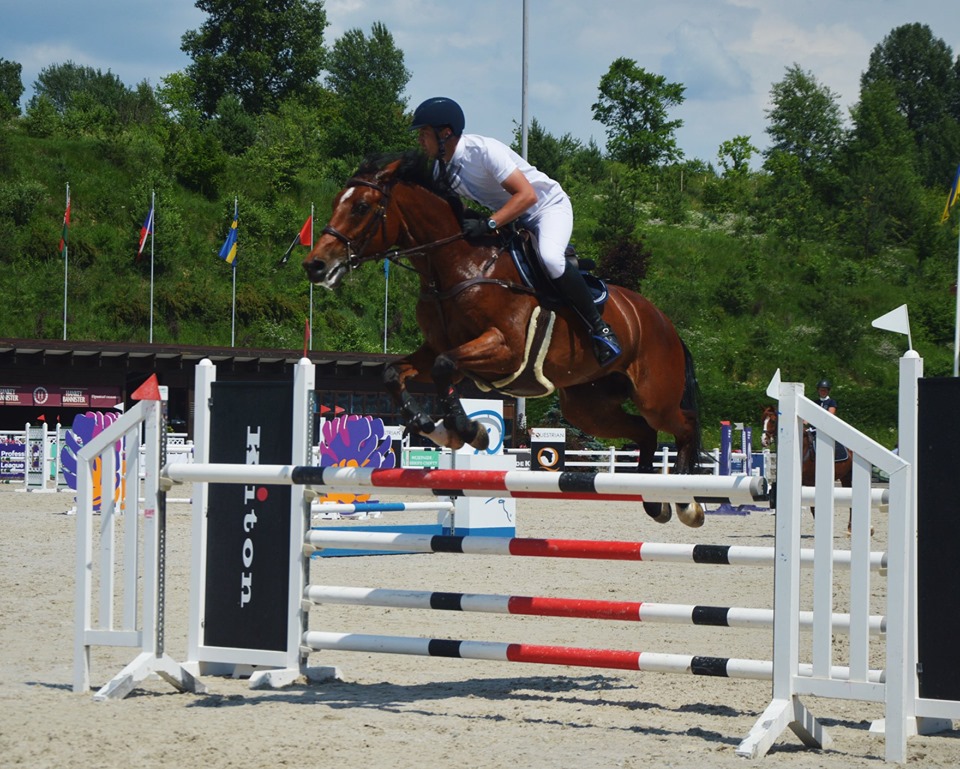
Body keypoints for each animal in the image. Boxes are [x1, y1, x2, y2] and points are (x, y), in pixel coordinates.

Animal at [304, 151, 705, 527]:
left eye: (360, 206)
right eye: (337, 201)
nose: (315, 265)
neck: (457, 267)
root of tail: (665, 323)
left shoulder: (506, 350)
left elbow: (444, 367)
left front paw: (469, 431)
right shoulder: (437, 348)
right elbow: (395, 373)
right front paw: (436, 429)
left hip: (654, 396)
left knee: (683, 425)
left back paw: (687, 503)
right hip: (589, 408)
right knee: (644, 432)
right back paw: (655, 501)